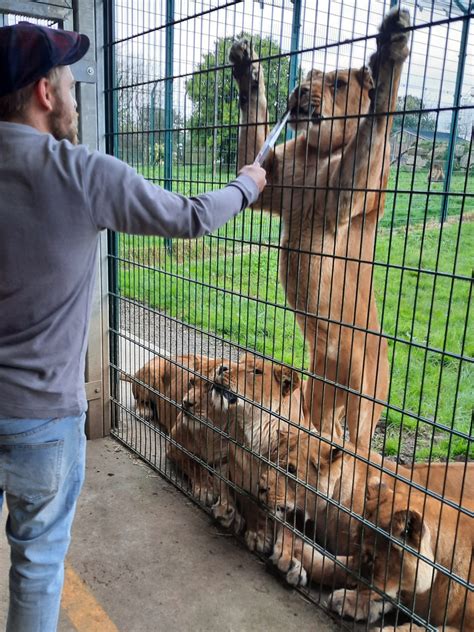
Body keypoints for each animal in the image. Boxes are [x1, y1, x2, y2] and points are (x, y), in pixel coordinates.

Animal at [230, 7, 412, 446]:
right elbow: (253, 124)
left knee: (357, 444)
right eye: (310, 76)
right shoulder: (271, 181)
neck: (316, 151)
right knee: (323, 427)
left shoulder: (341, 200)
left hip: (365, 406)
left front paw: (390, 51)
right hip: (317, 397)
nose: (299, 91)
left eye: (338, 82)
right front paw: (247, 69)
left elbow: (374, 123)